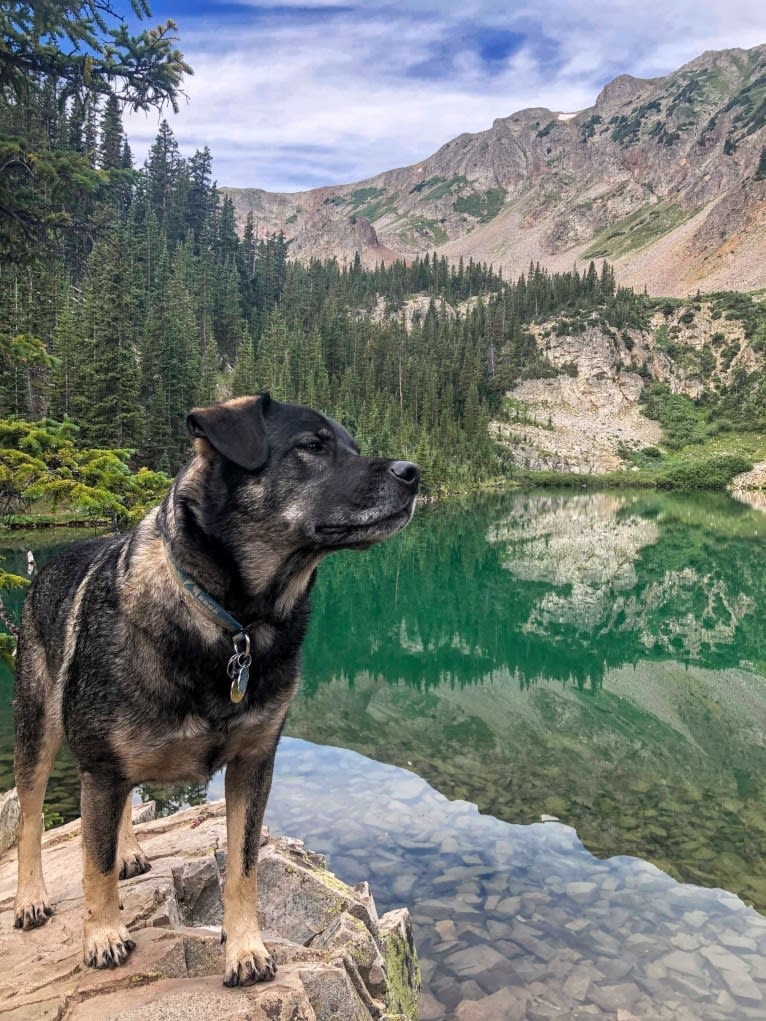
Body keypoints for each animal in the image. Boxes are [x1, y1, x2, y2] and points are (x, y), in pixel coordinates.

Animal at [12, 394, 420, 984]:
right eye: (312, 446)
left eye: (352, 445)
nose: (413, 474)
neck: (234, 623)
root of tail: (44, 567)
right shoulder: (102, 765)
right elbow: (94, 865)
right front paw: (103, 935)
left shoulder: (253, 763)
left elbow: (243, 867)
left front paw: (245, 948)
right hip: (36, 725)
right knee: (30, 815)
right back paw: (30, 899)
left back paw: (129, 849)